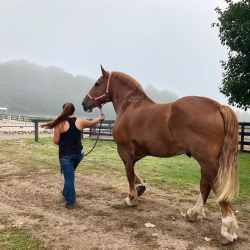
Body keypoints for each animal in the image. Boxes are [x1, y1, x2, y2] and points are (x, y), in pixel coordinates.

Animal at [81, 65, 238, 245]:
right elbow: (133, 171)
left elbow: (129, 173)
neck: (130, 106)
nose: (84, 103)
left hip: (206, 160)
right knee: (205, 185)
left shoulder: (124, 150)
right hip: (206, 161)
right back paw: (194, 213)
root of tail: (217, 106)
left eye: (97, 83)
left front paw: (131, 198)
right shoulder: (140, 151)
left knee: (215, 185)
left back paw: (227, 231)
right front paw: (140, 188)